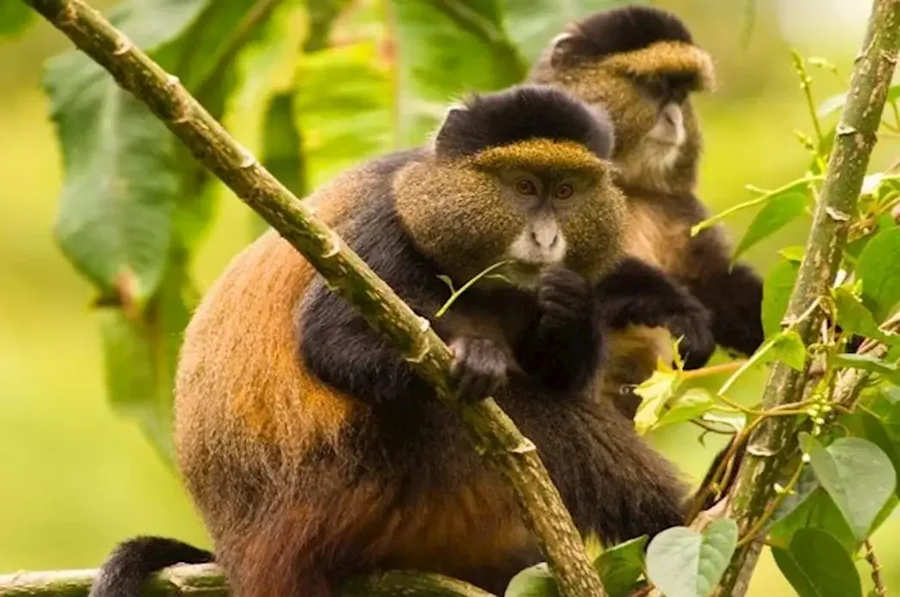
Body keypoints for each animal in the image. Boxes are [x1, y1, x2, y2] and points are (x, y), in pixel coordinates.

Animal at [89, 85, 699, 597]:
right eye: (523, 187)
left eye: (566, 191)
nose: (547, 239)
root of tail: (237, 548)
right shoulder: (382, 227)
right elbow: (330, 340)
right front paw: (478, 355)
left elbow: (561, 364)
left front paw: (571, 308)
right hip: (352, 491)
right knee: (517, 411)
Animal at [529, 4, 764, 420]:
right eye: (654, 85)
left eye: (681, 92)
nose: (675, 120)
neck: (626, 185)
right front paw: (677, 309)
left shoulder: (676, 207)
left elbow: (715, 279)